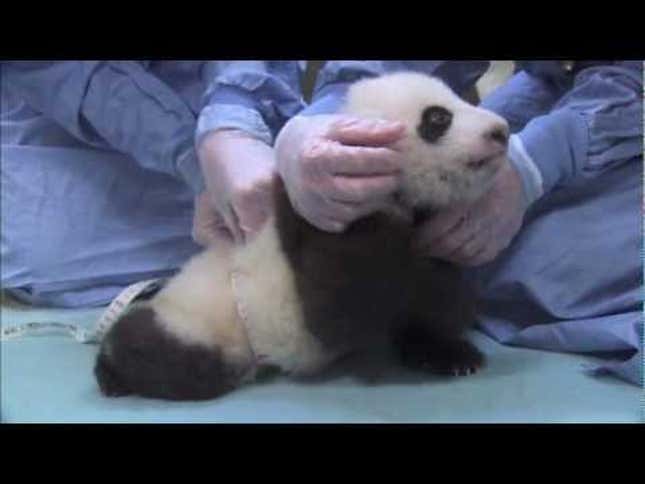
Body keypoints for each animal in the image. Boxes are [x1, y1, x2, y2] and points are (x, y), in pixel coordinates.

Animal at [94, 72, 510, 401]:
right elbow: (344, 308)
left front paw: (452, 354)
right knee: (170, 359)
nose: (500, 132)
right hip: (210, 322)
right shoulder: (321, 227)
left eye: (460, 99)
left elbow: (427, 302)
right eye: (438, 118)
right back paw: (112, 371)